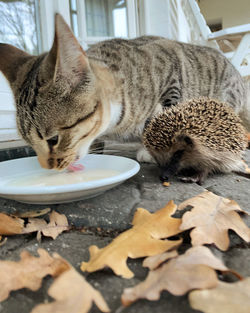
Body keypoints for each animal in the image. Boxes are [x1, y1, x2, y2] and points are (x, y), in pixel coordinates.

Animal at [0, 13, 249, 169]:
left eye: (53, 140)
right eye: (29, 142)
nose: (47, 168)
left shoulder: (169, 59)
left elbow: (168, 109)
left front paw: (152, 147)